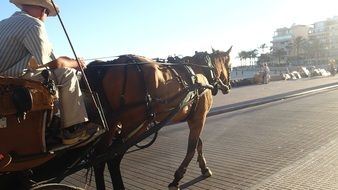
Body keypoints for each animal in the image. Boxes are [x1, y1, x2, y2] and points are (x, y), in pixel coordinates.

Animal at [85, 46, 232, 189]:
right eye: (230, 66)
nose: (228, 86)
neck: (199, 72)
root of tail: (110, 65)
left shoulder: (193, 118)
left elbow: (198, 144)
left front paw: (204, 167)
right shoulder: (200, 118)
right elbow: (191, 148)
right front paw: (177, 178)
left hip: (111, 124)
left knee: (99, 159)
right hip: (135, 123)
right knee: (112, 159)